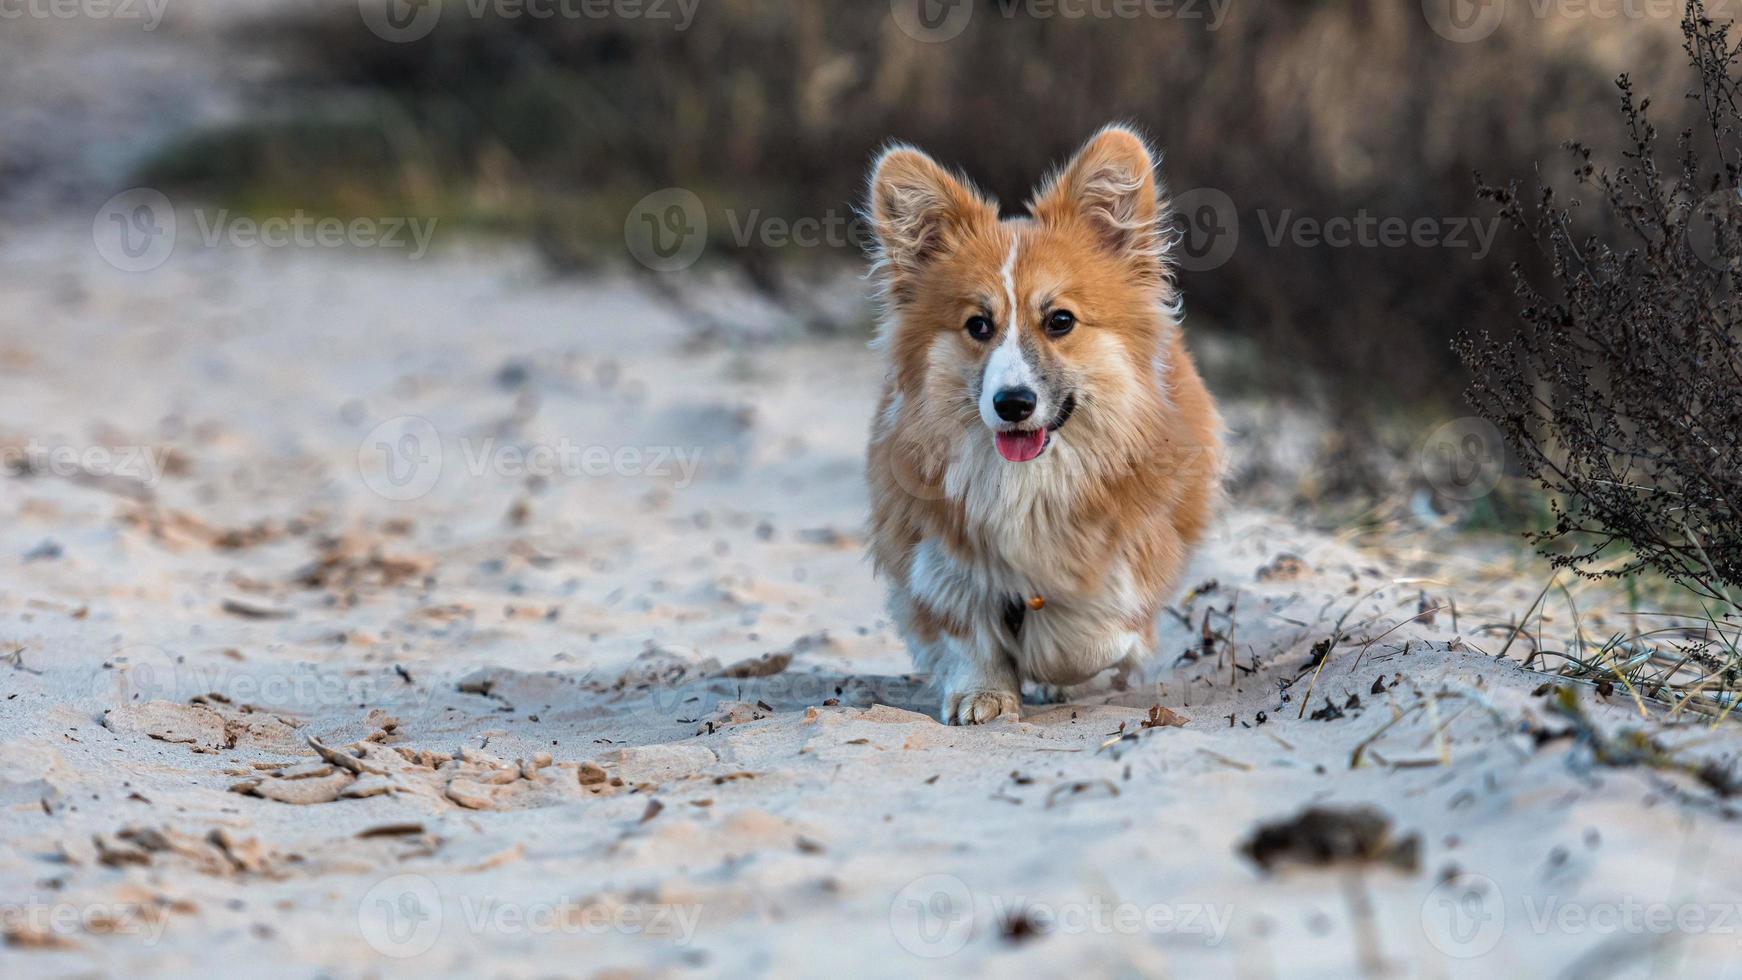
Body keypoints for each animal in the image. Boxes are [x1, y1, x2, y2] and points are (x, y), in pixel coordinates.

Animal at [860, 122, 1219, 724]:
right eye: (978, 325)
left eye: (1060, 320)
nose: (1013, 403)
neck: (1029, 479)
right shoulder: (934, 553)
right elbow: (966, 632)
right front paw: (982, 694)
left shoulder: (1129, 552)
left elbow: (1087, 632)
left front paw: (1051, 662)